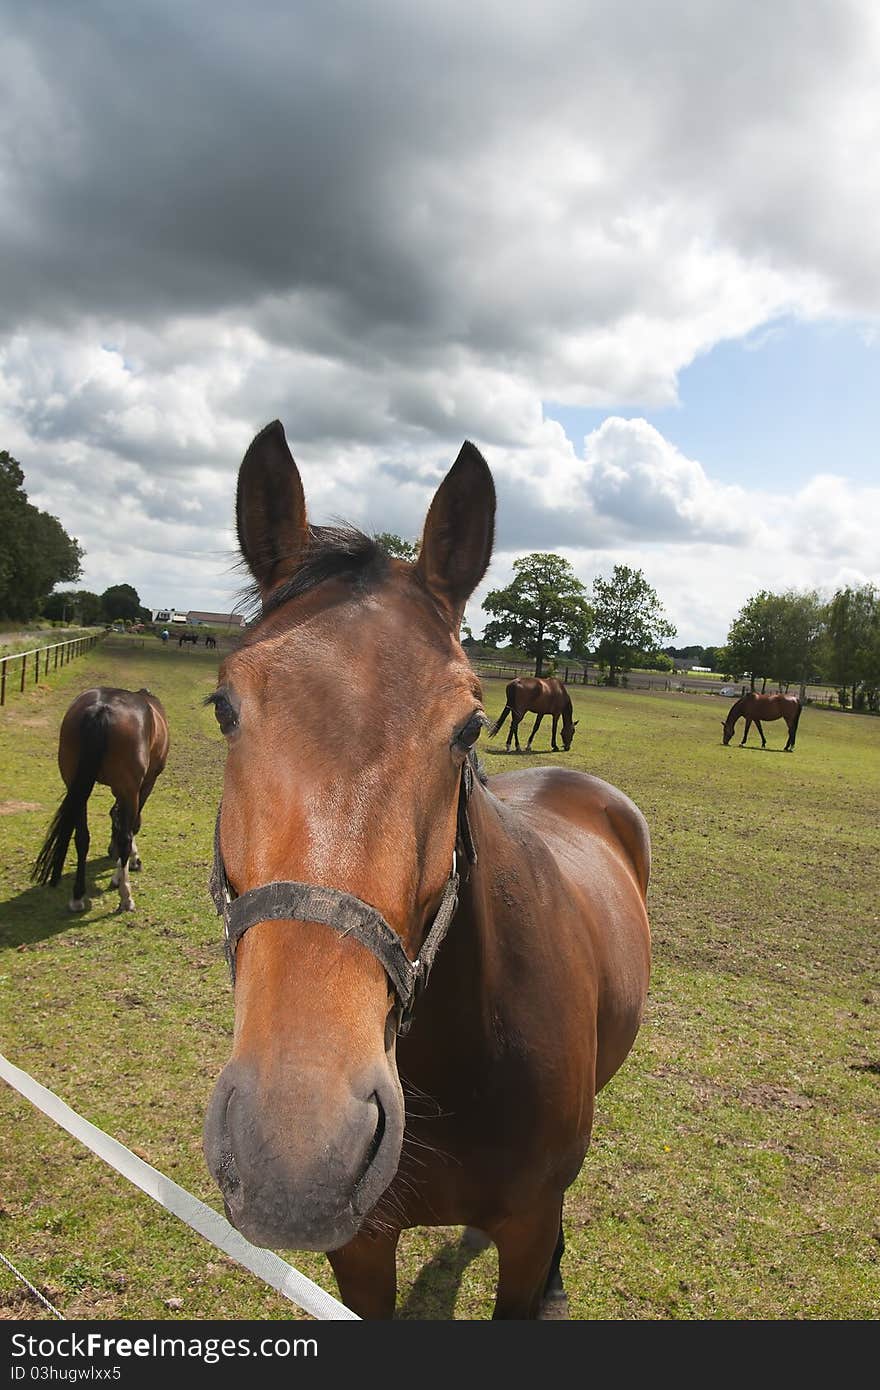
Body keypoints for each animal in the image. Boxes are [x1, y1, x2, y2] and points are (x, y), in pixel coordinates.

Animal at [33, 683, 169, 911]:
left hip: (77, 786)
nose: (110, 852)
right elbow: (131, 825)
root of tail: (101, 709)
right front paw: (127, 866)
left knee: (82, 837)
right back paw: (126, 897)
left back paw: (77, 897)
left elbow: (115, 816)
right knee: (125, 837)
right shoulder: (144, 784)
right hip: (128, 787)